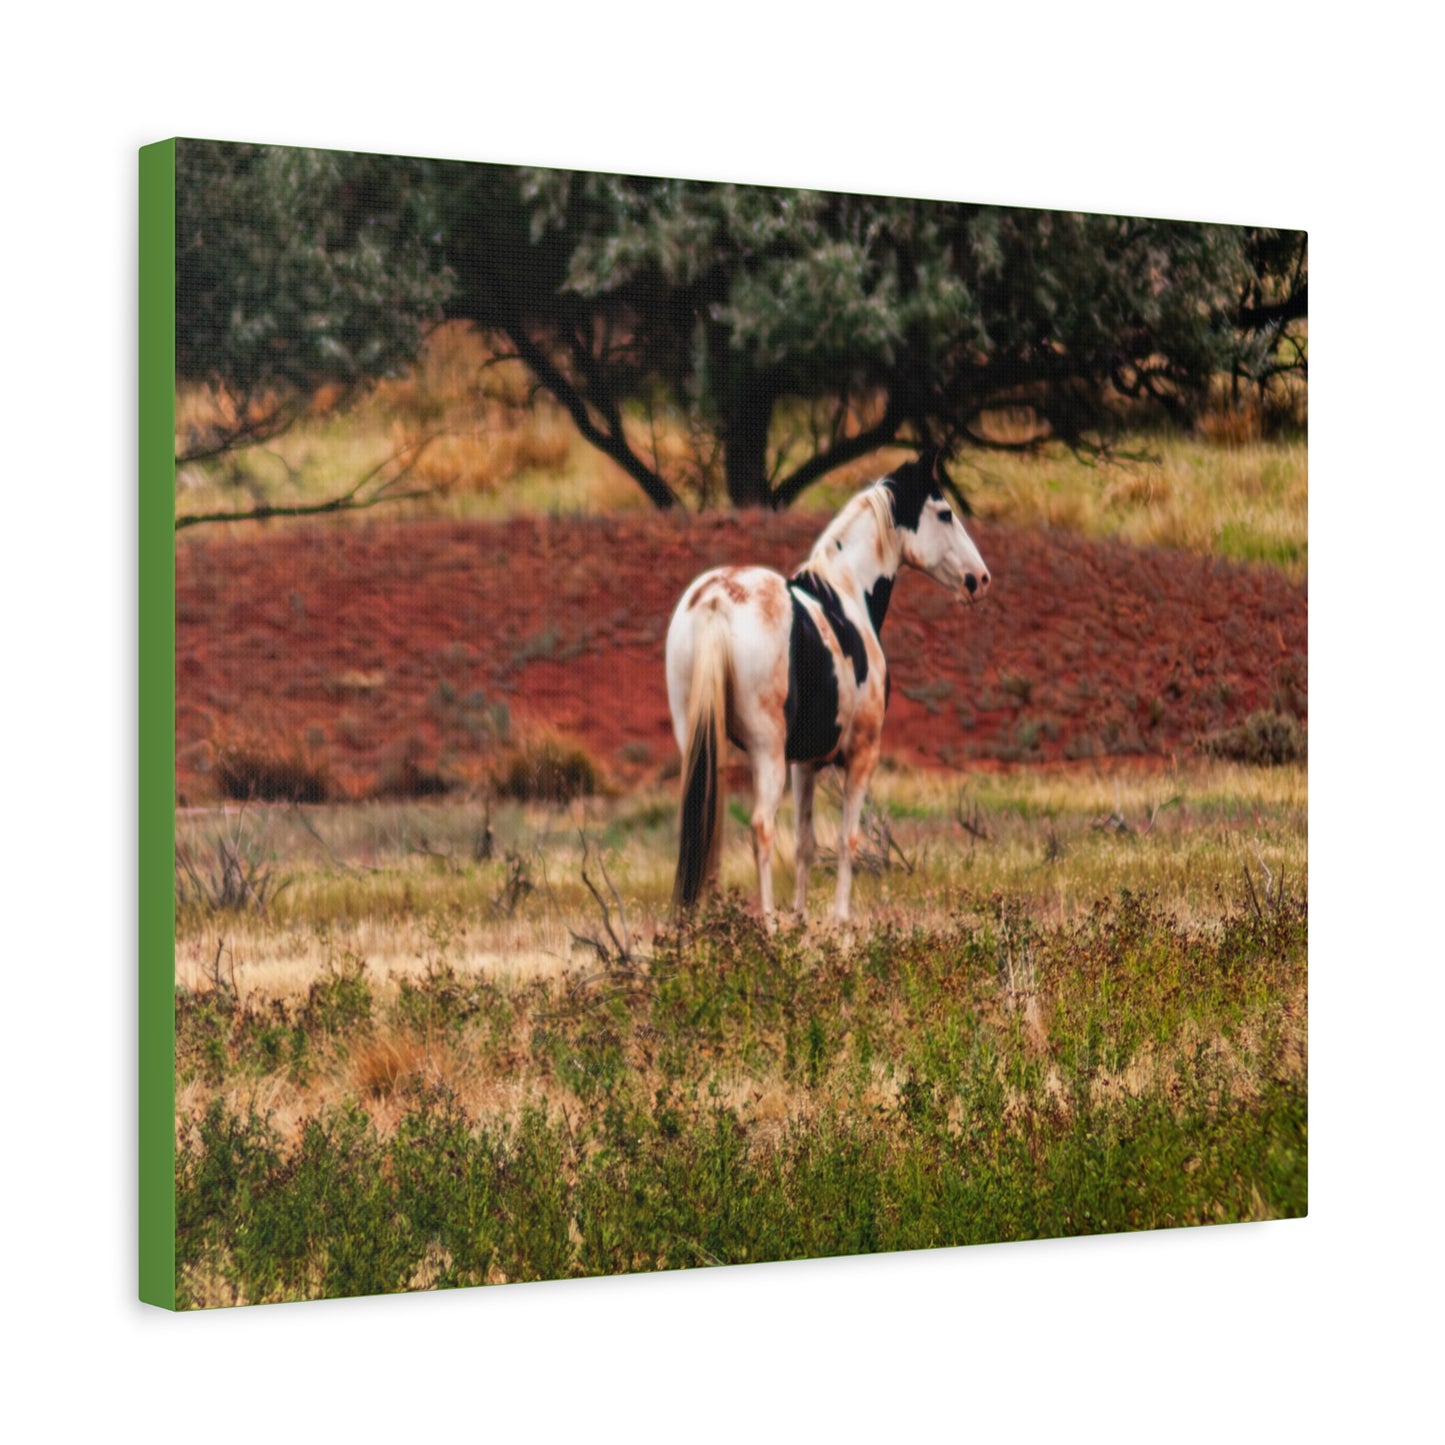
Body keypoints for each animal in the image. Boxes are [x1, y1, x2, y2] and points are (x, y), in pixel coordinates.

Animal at [665, 452, 991, 927]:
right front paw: (840, 924)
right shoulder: (860, 755)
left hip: (699, 740)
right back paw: (767, 924)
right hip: (765, 751)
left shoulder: (805, 763)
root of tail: (715, 601)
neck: (846, 594)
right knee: (762, 827)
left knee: (706, 820)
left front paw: (802, 921)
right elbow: (846, 840)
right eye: (945, 513)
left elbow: (805, 844)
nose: (980, 579)